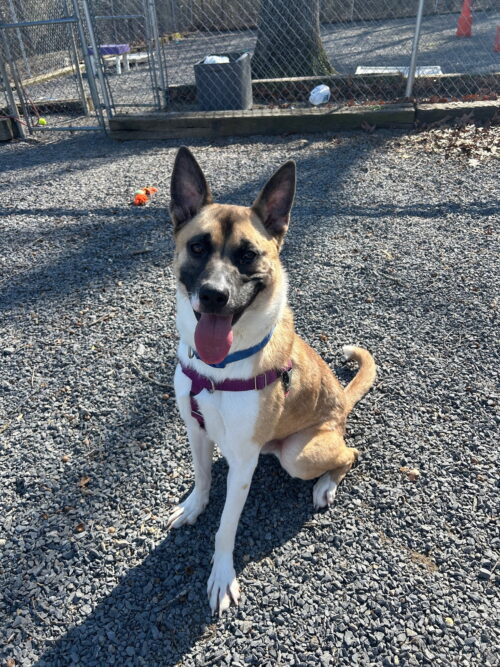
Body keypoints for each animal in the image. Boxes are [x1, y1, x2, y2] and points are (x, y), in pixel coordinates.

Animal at [167, 147, 376, 615]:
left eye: (247, 255)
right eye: (197, 246)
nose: (213, 295)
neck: (220, 369)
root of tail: (342, 405)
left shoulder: (243, 462)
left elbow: (226, 526)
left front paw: (222, 575)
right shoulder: (196, 431)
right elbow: (202, 479)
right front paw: (194, 507)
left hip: (300, 454)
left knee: (350, 455)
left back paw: (326, 487)